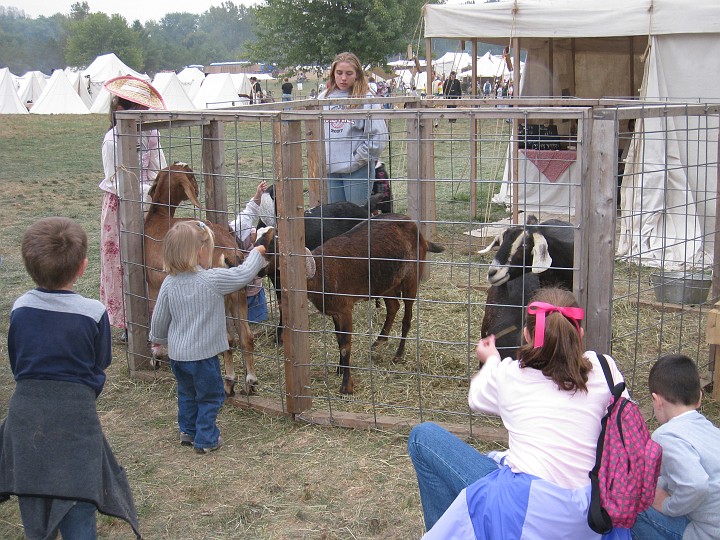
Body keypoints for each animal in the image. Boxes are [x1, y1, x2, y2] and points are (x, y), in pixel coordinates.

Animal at [143, 162, 258, 394]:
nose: (197, 189)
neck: (157, 217)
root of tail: (229, 253)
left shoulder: (154, 285)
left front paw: (156, 356)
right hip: (238, 293)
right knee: (246, 336)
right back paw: (250, 381)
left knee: (228, 339)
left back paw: (229, 382)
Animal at [284, 213, 442, 394]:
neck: (321, 272)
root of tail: (418, 232)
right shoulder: (336, 312)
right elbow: (339, 339)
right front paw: (340, 369)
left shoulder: (345, 310)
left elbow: (345, 346)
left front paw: (346, 386)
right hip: (386, 283)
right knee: (393, 306)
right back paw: (379, 341)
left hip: (411, 279)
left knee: (406, 318)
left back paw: (398, 354)